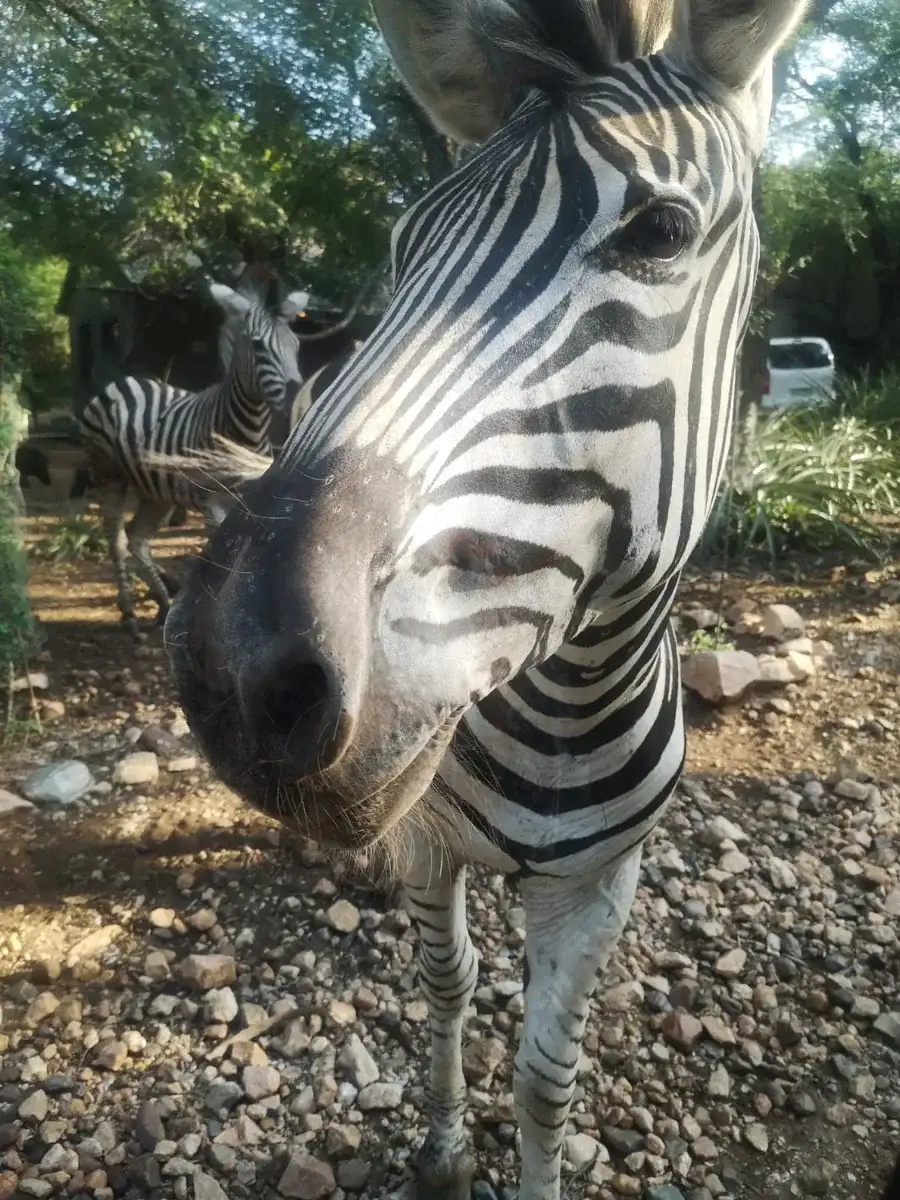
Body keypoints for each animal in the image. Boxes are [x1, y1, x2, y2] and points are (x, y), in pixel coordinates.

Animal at [79, 266, 308, 634]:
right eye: (258, 346)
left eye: (296, 346)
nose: (296, 400)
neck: (245, 431)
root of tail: (123, 381)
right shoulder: (212, 506)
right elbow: (218, 563)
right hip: (107, 474)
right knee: (117, 541)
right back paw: (129, 614)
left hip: (154, 491)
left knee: (138, 539)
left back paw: (162, 604)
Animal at [165, 2, 808, 1198]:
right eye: (405, 249)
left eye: (660, 232)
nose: (239, 672)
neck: (568, 704)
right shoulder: (431, 843)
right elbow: (448, 980)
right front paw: (444, 1147)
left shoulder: (602, 885)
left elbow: (550, 1076)